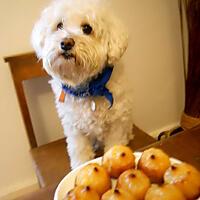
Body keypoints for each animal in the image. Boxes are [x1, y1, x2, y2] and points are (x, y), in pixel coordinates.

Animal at [32, 0, 134, 169]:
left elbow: (114, 146)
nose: (66, 43)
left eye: (87, 28)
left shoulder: (117, 124)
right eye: (59, 25)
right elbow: (79, 152)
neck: (88, 88)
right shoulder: (74, 129)